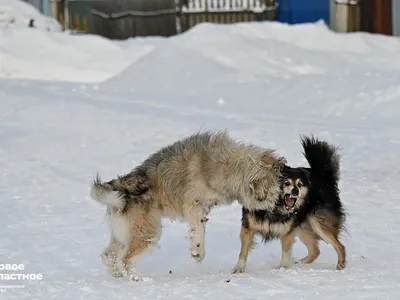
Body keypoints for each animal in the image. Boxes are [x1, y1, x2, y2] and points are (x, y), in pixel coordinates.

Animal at [89, 131, 286, 282]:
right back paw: (138, 279)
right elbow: (199, 230)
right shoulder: (194, 205)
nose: (282, 204)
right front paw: (198, 251)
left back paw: (117, 275)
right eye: (275, 189)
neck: (225, 166)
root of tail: (121, 186)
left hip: (122, 235)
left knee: (108, 256)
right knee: (125, 259)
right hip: (147, 233)